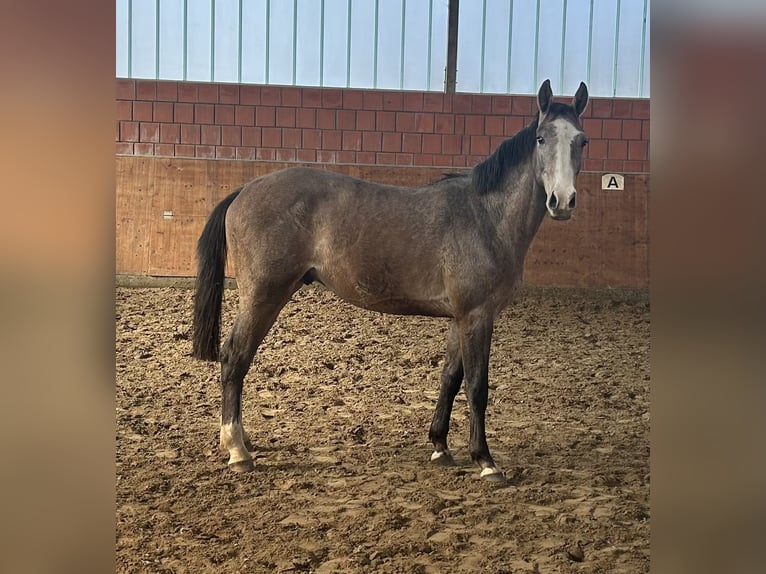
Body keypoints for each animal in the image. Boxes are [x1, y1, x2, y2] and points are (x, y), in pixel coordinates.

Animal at [192, 79, 589, 481]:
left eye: (582, 140)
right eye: (541, 138)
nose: (562, 201)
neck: (484, 216)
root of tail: (244, 191)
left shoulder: (459, 317)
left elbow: (450, 378)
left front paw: (440, 446)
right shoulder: (478, 315)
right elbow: (477, 385)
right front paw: (485, 460)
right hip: (263, 295)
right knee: (235, 356)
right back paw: (237, 450)